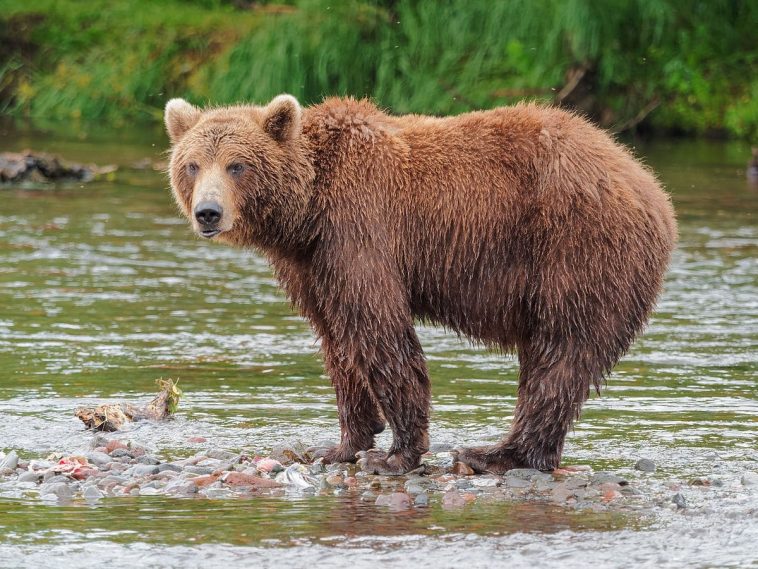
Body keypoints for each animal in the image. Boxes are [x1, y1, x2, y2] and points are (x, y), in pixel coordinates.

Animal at [164, 95, 677, 475]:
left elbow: (379, 330)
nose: (208, 212)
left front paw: (395, 453)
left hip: (578, 250)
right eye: (192, 164)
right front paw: (340, 444)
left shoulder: (360, 229)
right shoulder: (311, 266)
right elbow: (336, 341)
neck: (306, 212)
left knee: (561, 352)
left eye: (237, 165)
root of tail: (650, 186)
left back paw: (495, 453)